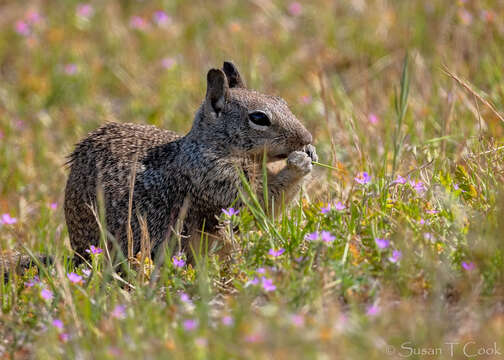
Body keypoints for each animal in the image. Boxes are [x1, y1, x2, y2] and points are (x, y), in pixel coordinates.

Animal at [62, 61, 316, 262]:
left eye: (282, 102)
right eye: (259, 118)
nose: (307, 137)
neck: (209, 148)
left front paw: (311, 153)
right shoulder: (219, 184)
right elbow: (260, 203)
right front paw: (299, 163)